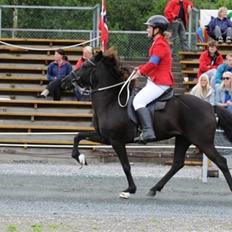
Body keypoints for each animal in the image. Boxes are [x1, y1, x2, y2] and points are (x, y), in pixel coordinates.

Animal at [61, 49, 232, 198]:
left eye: (85, 65)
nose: (64, 81)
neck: (110, 100)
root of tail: (210, 106)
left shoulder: (116, 141)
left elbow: (126, 166)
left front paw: (130, 189)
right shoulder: (104, 137)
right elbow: (77, 136)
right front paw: (79, 157)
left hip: (203, 142)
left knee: (221, 161)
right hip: (183, 139)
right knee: (177, 164)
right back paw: (154, 189)